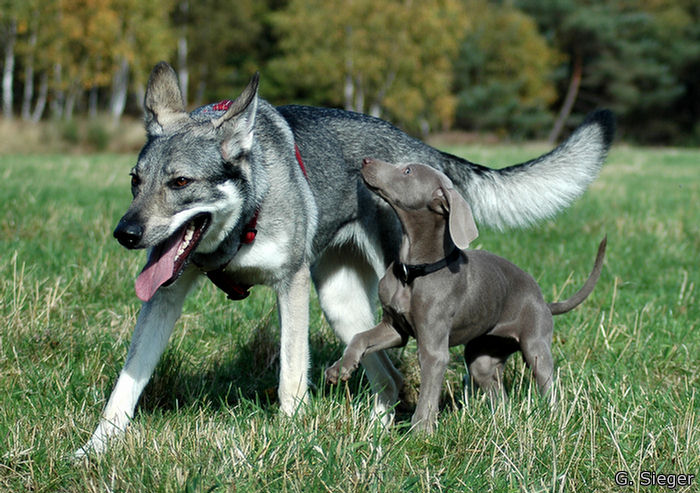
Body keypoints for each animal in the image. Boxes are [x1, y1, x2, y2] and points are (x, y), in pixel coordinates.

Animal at [328, 159, 608, 430]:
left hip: (535, 346)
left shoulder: (434, 351)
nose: (365, 160)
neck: (412, 273)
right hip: (482, 356)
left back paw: (555, 421)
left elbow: (427, 398)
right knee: (498, 394)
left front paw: (420, 434)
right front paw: (341, 368)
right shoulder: (395, 329)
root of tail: (543, 301)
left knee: (548, 385)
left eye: (407, 171)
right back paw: (501, 423)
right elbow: (360, 337)